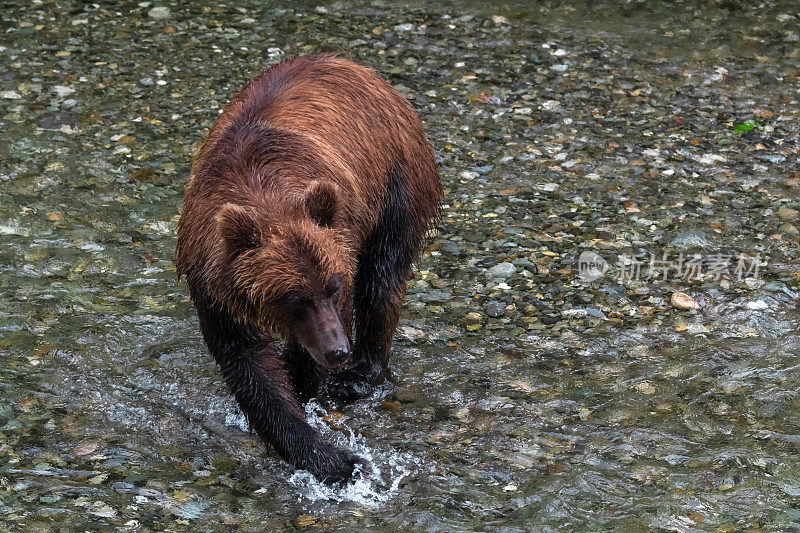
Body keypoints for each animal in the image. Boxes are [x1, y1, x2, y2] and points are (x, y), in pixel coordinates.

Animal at [175, 54, 440, 482]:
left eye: (333, 286)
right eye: (293, 297)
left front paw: (307, 394)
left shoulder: (341, 236)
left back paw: (357, 377)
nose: (337, 350)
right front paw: (328, 456)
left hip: (398, 181)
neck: (262, 193)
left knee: (382, 276)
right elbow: (249, 365)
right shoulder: (214, 285)